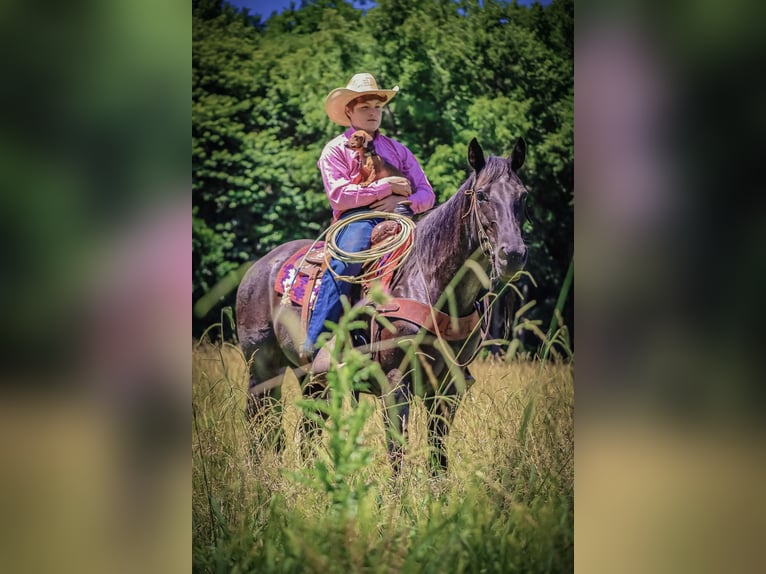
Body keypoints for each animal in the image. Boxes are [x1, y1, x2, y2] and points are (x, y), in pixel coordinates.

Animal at [237, 137, 532, 474]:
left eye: (523, 196)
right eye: (482, 195)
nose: (513, 255)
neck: (430, 282)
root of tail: (259, 267)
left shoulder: (448, 388)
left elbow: (438, 456)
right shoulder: (394, 384)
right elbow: (397, 454)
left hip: (310, 378)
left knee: (306, 432)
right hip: (262, 369)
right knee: (260, 423)